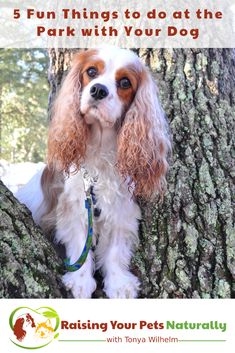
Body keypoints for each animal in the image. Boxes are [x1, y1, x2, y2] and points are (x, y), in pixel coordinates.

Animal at [16, 46, 171, 296]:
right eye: (91, 71)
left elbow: (116, 250)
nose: (98, 89)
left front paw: (119, 284)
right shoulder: (75, 204)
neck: (99, 147)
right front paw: (80, 281)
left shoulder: (121, 208)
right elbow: (81, 242)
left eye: (125, 82)